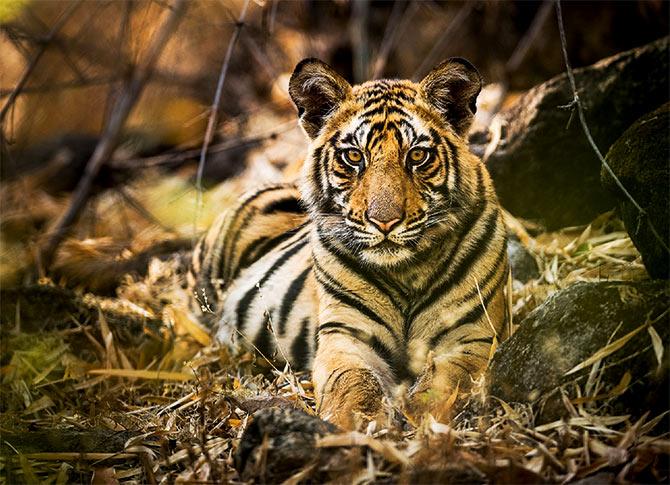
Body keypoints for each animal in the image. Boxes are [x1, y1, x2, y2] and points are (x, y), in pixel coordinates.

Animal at [192, 55, 512, 428]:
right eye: (354, 157)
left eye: (417, 156)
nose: (384, 221)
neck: (405, 271)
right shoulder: (346, 335)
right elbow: (353, 381)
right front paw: (358, 421)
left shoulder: (473, 335)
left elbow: (447, 380)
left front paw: (421, 417)